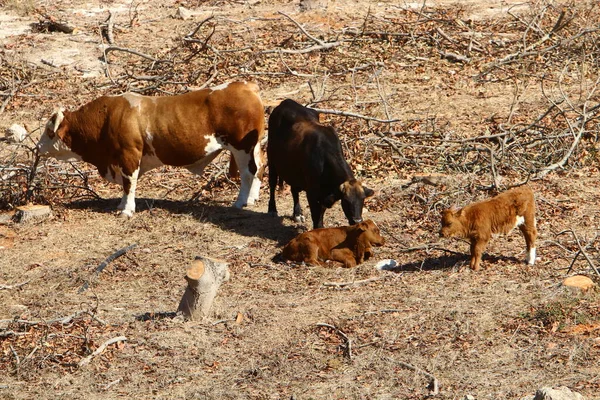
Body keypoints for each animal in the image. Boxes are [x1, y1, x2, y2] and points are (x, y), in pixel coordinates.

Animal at [36, 81, 264, 217]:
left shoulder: (129, 155)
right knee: (259, 168)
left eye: (49, 130)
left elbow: (129, 184)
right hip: (254, 147)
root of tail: (244, 85)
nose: (37, 147)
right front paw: (121, 205)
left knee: (247, 173)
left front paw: (127, 210)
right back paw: (252, 198)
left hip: (241, 147)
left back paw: (240, 202)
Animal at [268, 98, 372, 228]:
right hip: (271, 159)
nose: (357, 221)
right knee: (272, 183)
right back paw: (272, 209)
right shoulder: (312, 194)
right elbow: (316, 217)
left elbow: (320, 216)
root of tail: (285, 102)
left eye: (363, 199)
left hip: (293, 170)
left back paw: (297, 214)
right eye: (346, 201)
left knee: (294, 190)